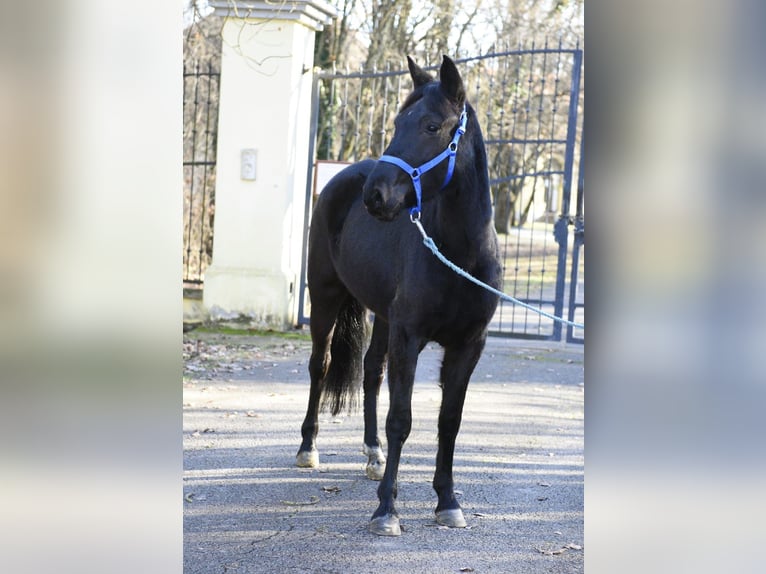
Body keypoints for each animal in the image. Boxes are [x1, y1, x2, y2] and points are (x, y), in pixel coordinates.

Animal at [296, 55, 502, 537]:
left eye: (432, 125)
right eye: (395, 123)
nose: (375, 194)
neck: (460, 255)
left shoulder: (468, 346)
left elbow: (449, 422)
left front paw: (448, 501)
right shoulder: (409, 338)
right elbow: (401, 420)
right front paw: (387, 510)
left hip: (383, 317)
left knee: (371, 371)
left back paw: (372, 455)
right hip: (326, 300)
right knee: (321, 366)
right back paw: (308, 448)